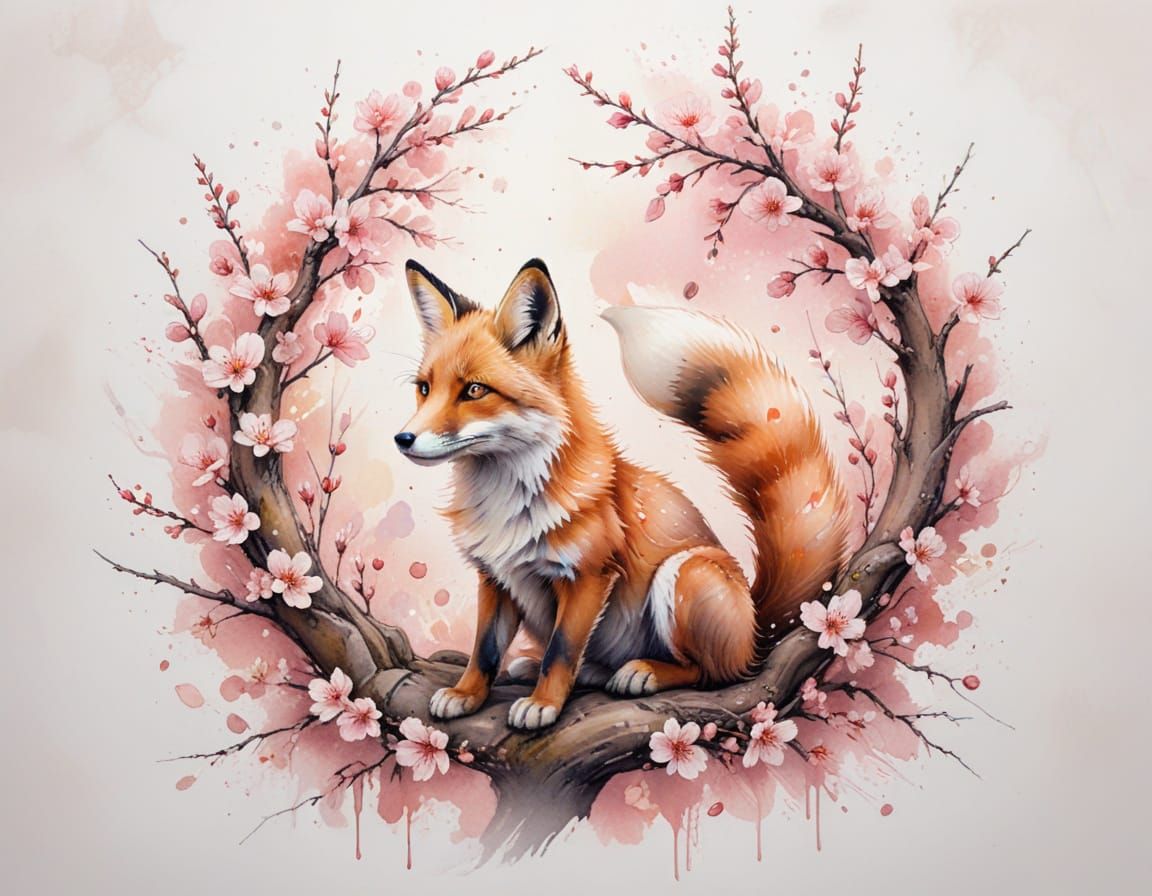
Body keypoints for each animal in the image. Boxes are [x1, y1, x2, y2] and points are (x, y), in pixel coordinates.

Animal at [395, 257, 850, 731]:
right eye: (424, 388)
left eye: (474, 390)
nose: (403, 439)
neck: (507, 504)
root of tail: (759, 630)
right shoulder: (495, 577)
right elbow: (484, 650)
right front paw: (467, 695)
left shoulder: (589, 575)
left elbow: (561, 652)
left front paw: (544, 704)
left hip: (685, 572)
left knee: (712, 672)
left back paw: (644, 672)